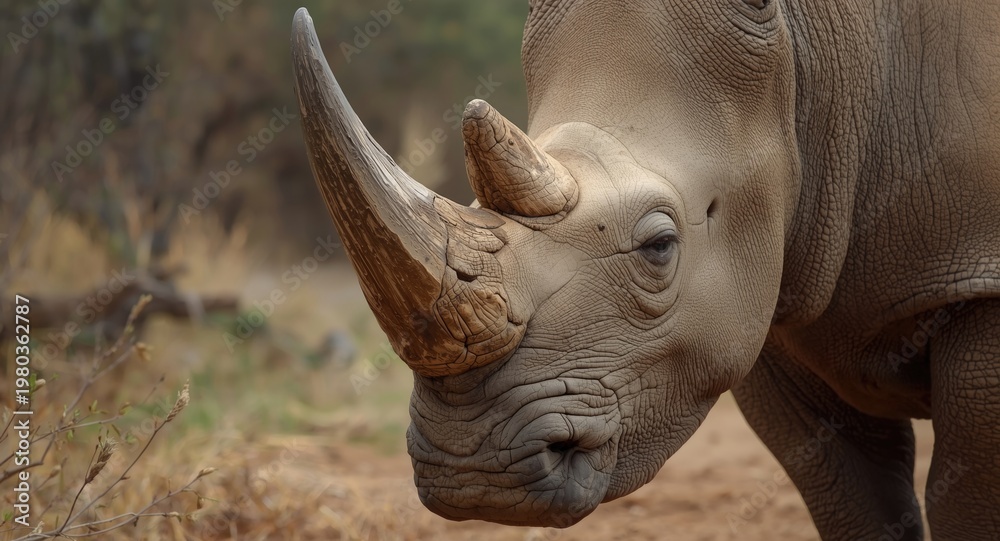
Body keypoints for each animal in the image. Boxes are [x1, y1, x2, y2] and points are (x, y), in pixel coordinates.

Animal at [290, 2, 1000, 538]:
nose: (474, 472)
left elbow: (966, 501)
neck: (815, 65)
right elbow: (851, 498)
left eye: (660, 246)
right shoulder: (771, 303)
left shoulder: (981, 285)